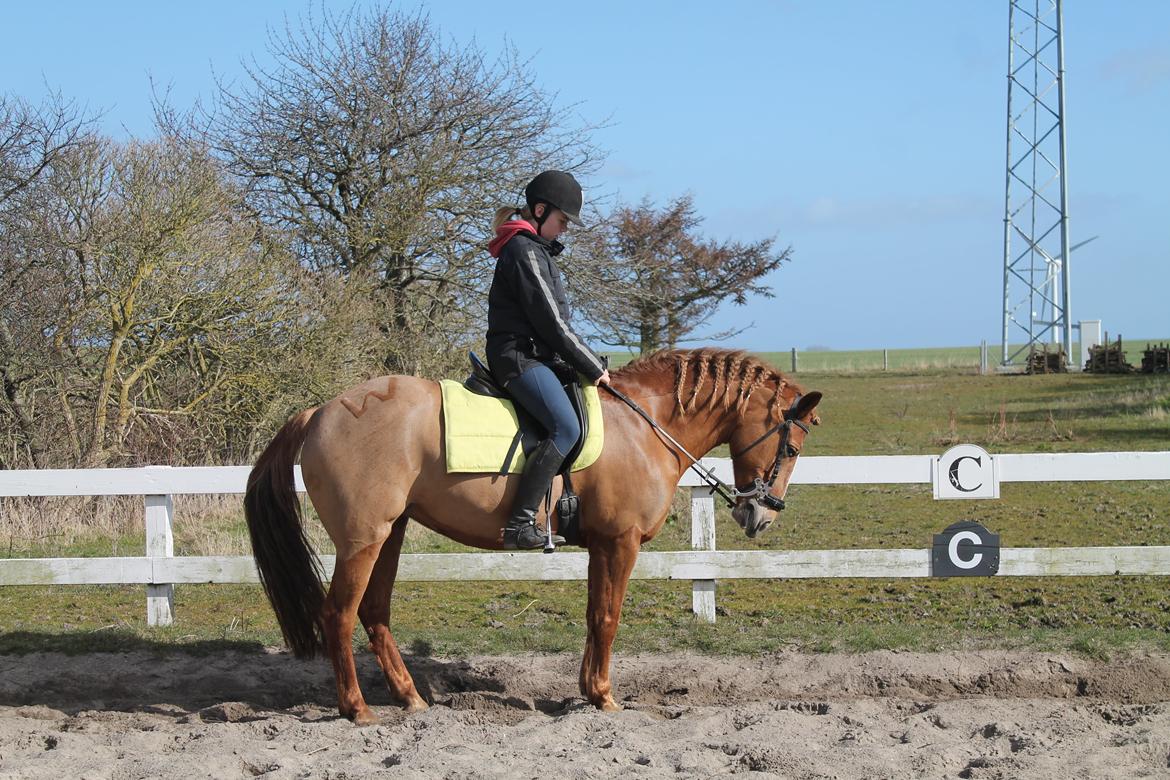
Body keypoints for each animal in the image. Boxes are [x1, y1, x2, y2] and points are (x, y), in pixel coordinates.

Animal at [239, 348, 823, 725]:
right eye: (792, 448)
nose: (762, 516)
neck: (645, 426)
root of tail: (321, 412)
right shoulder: (620, 542)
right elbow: (608, 619)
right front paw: (605, 698)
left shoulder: (602, 546)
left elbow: (593, 616)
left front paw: (588, 692)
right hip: (363, 539)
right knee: (339, 614)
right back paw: (357, 709)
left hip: (391, 534)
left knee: (373, 612)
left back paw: (410, 700)